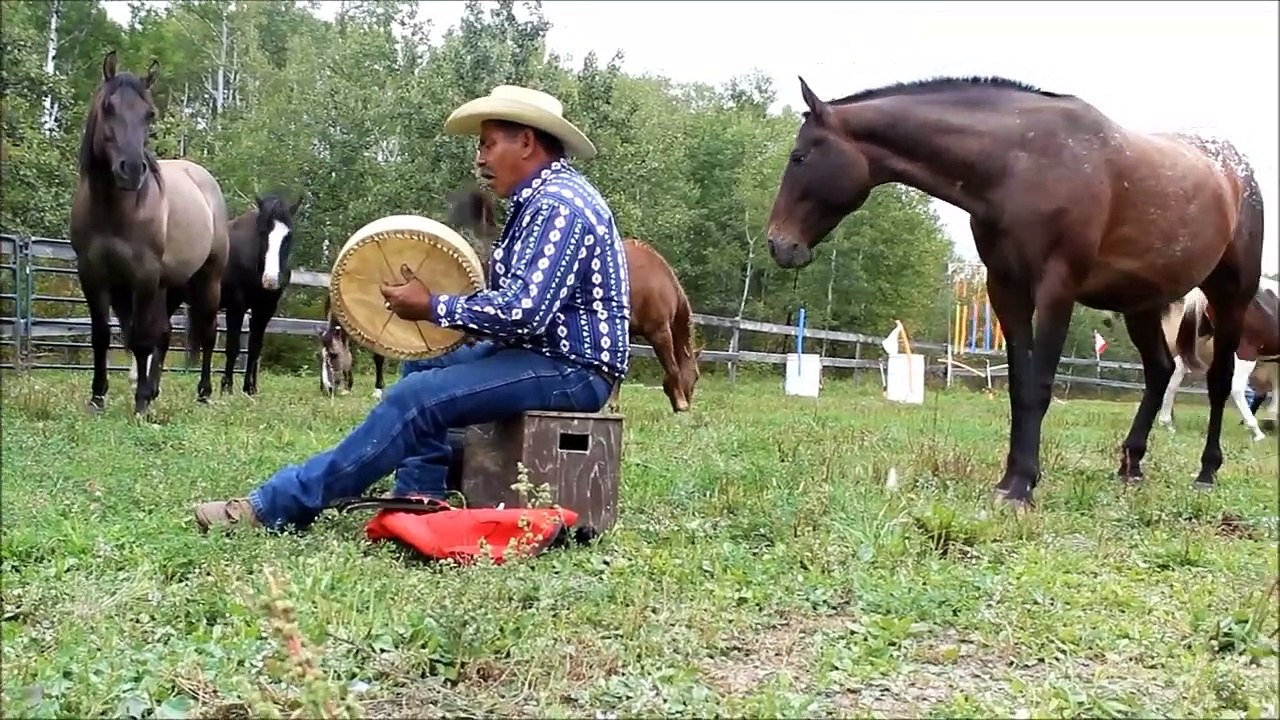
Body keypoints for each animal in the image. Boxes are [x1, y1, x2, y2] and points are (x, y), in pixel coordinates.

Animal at [70, 51, 230, 416]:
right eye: (109, 107)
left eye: (150, 114)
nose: (131, 170)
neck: (115, 210)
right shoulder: (95, 275)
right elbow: (105, 335)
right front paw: (98, 397)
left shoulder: (143, 275)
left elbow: (141, 338)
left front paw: (141, 402)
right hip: (169, 285)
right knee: (165, 332)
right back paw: (155, 387)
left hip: (206, 279)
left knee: (208, 333)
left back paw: (203, 393)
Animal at [219, 191, 303, 396]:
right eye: (263, 232)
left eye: (288, 236)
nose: (270, 280)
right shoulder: (236, 307)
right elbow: (232, 347)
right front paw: (227, 387)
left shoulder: (264, 310)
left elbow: (254, 348)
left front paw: (249, 388)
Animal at [445, 186, 701, 413]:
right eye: (696, 376)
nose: (688, 403)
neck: (660, 280)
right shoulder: (659, 330)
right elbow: (672, 366)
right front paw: (680, 401)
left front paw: (613, 405)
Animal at [763, 75, 1265, 507]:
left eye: (799, 157)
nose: (778, 244)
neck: (1021, 162)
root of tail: (1237, 169)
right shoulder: (1005, 287)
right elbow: (1019, 386)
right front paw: (1011, 478)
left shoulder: (1057, 288)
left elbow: (1039, 385)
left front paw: (1022, 486)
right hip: (1141, 303)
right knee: (1160, 372)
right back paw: (1131, 465)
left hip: (1229, 297)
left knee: (1219, 382)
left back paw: (1207, 471)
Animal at [1157, 276, 1280, 439]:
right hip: (1245, 351)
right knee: (1237, 387)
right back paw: (1256, 431)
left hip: (1197, 340)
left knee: (1175, 373)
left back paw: (1167, 423)